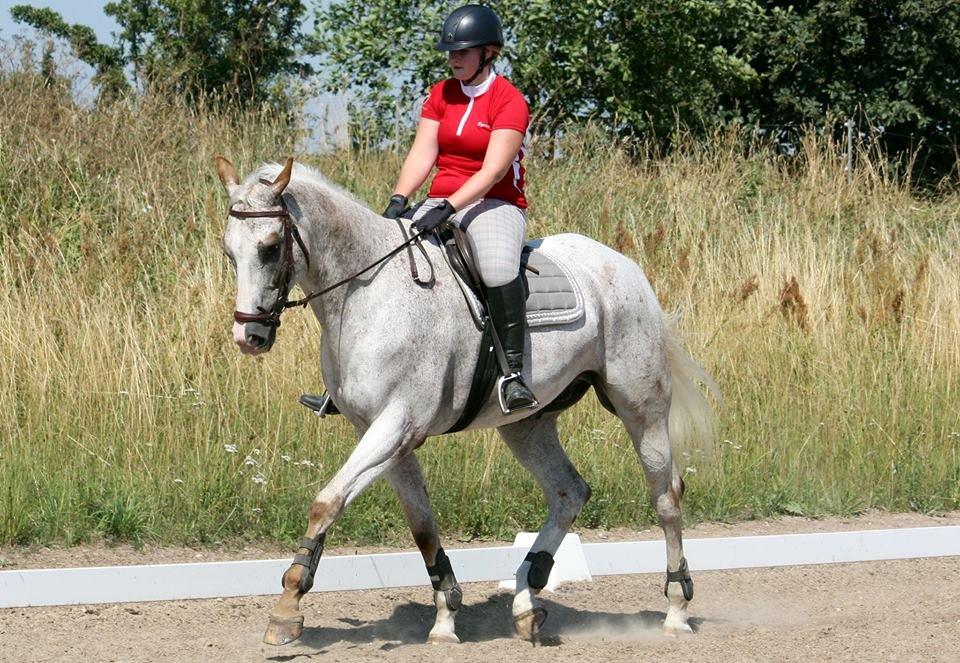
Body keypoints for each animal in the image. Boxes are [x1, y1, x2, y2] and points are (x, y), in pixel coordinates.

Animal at [216, 157, 712, 648]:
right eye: (229, 252)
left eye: (271, 247)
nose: (249, 337)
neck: (366, 295)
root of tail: (625, 265)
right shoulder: (384, 433)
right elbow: (421, 525)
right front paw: (445, 616)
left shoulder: (397, 424)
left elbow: (327, 502)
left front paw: (287, 608)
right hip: (526, 424)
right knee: (569, 491)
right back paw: (526, 601)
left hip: (642, 408)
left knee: (666, 496)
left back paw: (676, 610)